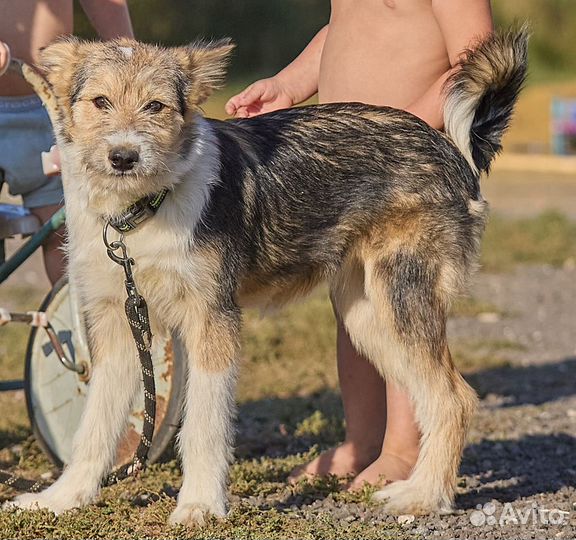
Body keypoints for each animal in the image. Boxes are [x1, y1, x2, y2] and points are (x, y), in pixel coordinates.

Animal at [6, 30, 528, 528]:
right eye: (100, 102)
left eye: (155, 106)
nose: (123, 157)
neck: (141, 213)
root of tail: (449, 146)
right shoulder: (117, 325)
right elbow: (93, 427)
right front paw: (61, 499)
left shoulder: (213, 320)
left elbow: (205, 426)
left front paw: (199, 505)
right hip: (367, 318)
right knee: (434, 398)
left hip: (399, 301)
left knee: (454, 399)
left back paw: (424, 497)